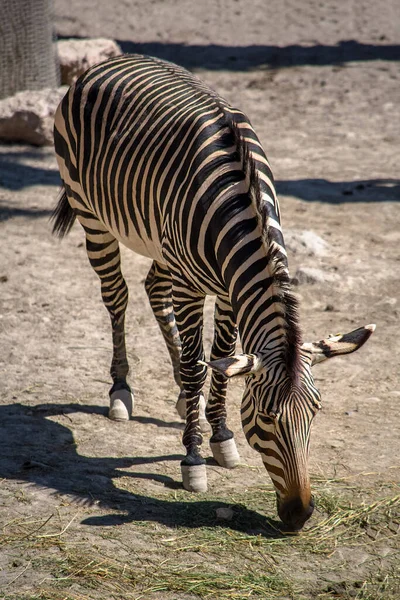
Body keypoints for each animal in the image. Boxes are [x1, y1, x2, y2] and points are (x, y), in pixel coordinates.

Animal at [53, 55, 376, 528]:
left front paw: (220, 434)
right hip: (92, 215)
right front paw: (193, 459)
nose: (300, 515)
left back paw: (181, 397)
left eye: (315, 413)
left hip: (162, 245)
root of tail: (114, 60)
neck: (240, 206)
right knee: (117, 296)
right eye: (266, 418)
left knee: (153, 289)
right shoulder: (192, 287)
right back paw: (120, 391)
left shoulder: (227, 290)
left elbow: (221, 358)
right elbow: (198, 365)